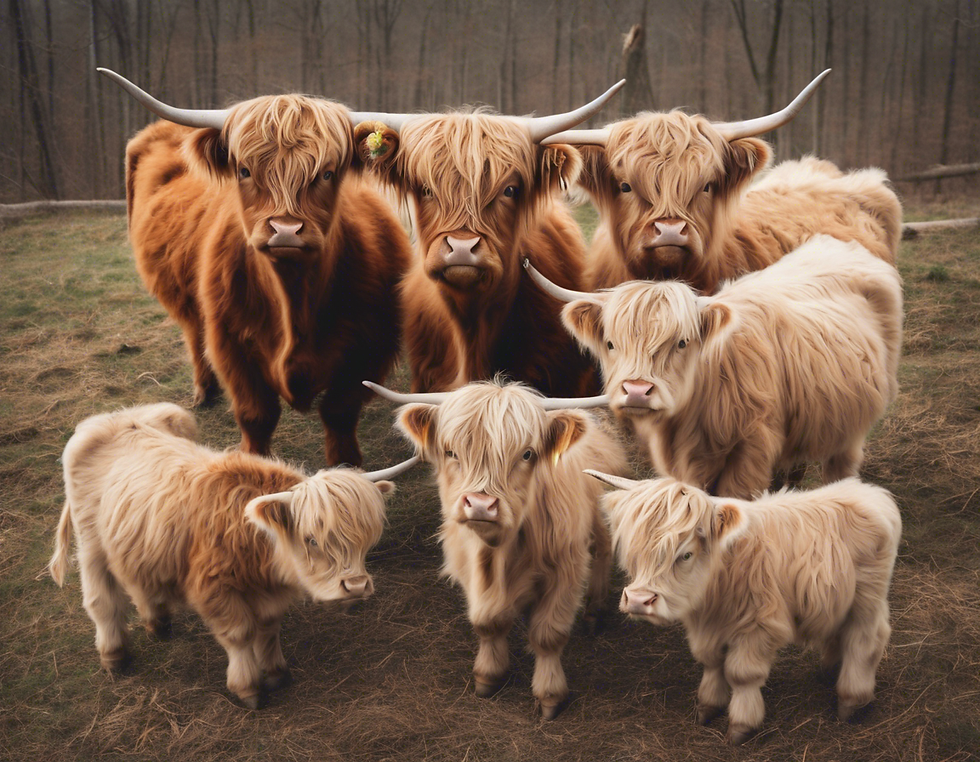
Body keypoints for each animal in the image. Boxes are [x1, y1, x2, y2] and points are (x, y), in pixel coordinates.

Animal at [48, 402, 416, 708]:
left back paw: (158, 621)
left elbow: (268, 628)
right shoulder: (214, 588)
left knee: (139, 579)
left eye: (365, 542)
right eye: (311, 539)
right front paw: (248, 688)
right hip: (91, 542)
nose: (356, 587)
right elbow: (239, 635)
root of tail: (116, 418)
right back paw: (115, 656)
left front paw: (276, 673)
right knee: (102, 600)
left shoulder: (269, 592)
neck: (259, 548)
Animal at [102, 68, 413, 466]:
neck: (294, 298)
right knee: (194, 333)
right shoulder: (231, 343)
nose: (285, 229)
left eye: (328, 173)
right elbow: (256, 415)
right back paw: (204, 392)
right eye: (245, 170)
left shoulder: (371, 345)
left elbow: (339, 412)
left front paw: (348, 469)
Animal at [366, 379, 627, 718]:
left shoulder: (565, 569)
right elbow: (487, 622)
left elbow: (548, 636)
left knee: (603, 548)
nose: (480, 505)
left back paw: (595, 611)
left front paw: (550, 696)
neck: (498, 551)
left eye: (527, 453)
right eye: (450, 451)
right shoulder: (468, 566)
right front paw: (488, 676)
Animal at [525, 233, 903, 499]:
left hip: (852, 425)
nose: (636, 391)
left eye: (681, 342)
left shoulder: (750, 449)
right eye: (611, 344)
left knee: (841, 462)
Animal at [588, 470, 901, 744]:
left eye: (686, 554)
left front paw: (741, 726)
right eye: (635, 550)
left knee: (865, 640)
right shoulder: (706, 626)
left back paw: (851, 700)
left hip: (867, 599)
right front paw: (707, 707)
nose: (638, 601)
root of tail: (871, 493)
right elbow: (711, 660)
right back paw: (829, 670)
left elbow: (741, 674)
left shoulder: (759, 626)